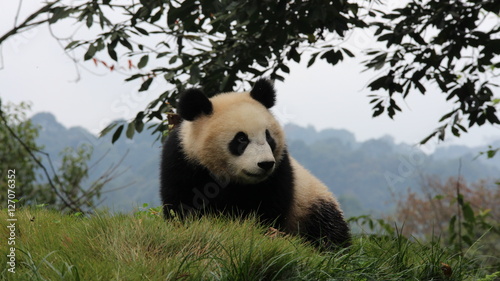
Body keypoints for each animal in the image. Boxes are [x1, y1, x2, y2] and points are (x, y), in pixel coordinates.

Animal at [162, 79, 350, 247]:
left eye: (268, 136)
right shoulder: (184, 160)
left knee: (327, 227)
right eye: (241, 139)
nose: (265, 164)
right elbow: (183, 200)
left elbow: (270, 208)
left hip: (311, 202)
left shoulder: (279, 171)